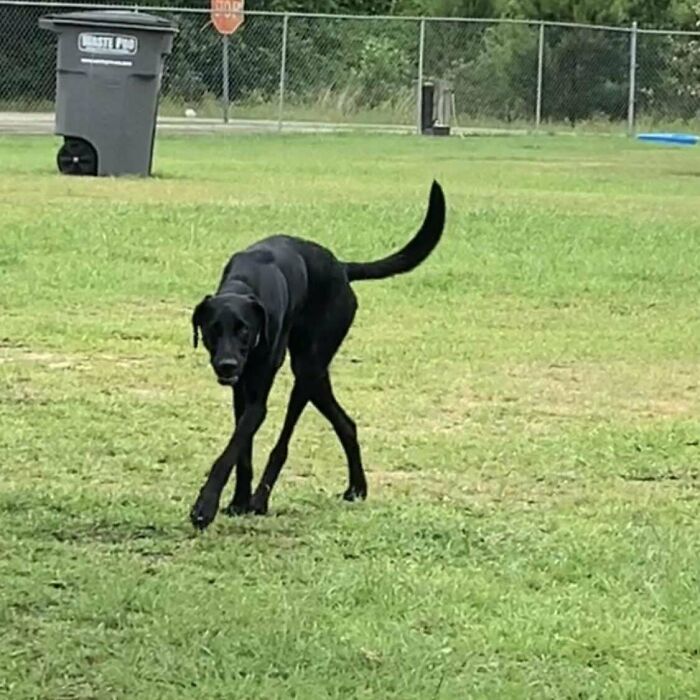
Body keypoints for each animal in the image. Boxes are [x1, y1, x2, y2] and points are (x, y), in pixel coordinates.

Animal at [189, 182, 446, 532]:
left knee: (284, 443)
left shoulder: (257, 400)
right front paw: (237, 501)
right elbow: (241, 451)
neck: (245, 285)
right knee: (347, 423)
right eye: (212, 330)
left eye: (244, 330)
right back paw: (356, 487)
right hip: (317, 377)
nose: (227, 365)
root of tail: (342, 268)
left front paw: (206, 506)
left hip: (307, 371)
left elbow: (231, 449)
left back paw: (261, 500)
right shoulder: (241, 393)